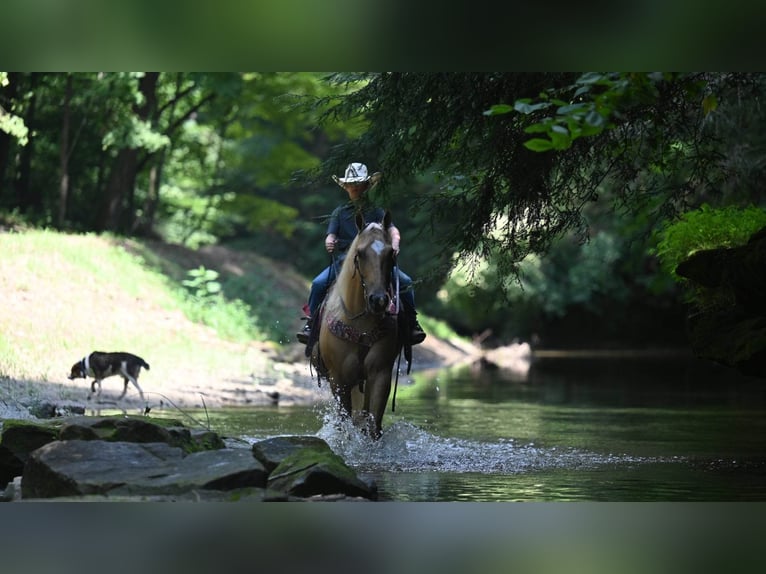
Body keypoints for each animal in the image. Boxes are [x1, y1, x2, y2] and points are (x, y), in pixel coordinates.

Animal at [308, 212, 402, 440]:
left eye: (391, 253)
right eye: (360, 253)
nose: (379, 300)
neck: (360, 325)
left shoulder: (380, 374)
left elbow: (373, 425)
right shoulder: (338, 380)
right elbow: (344, 425)